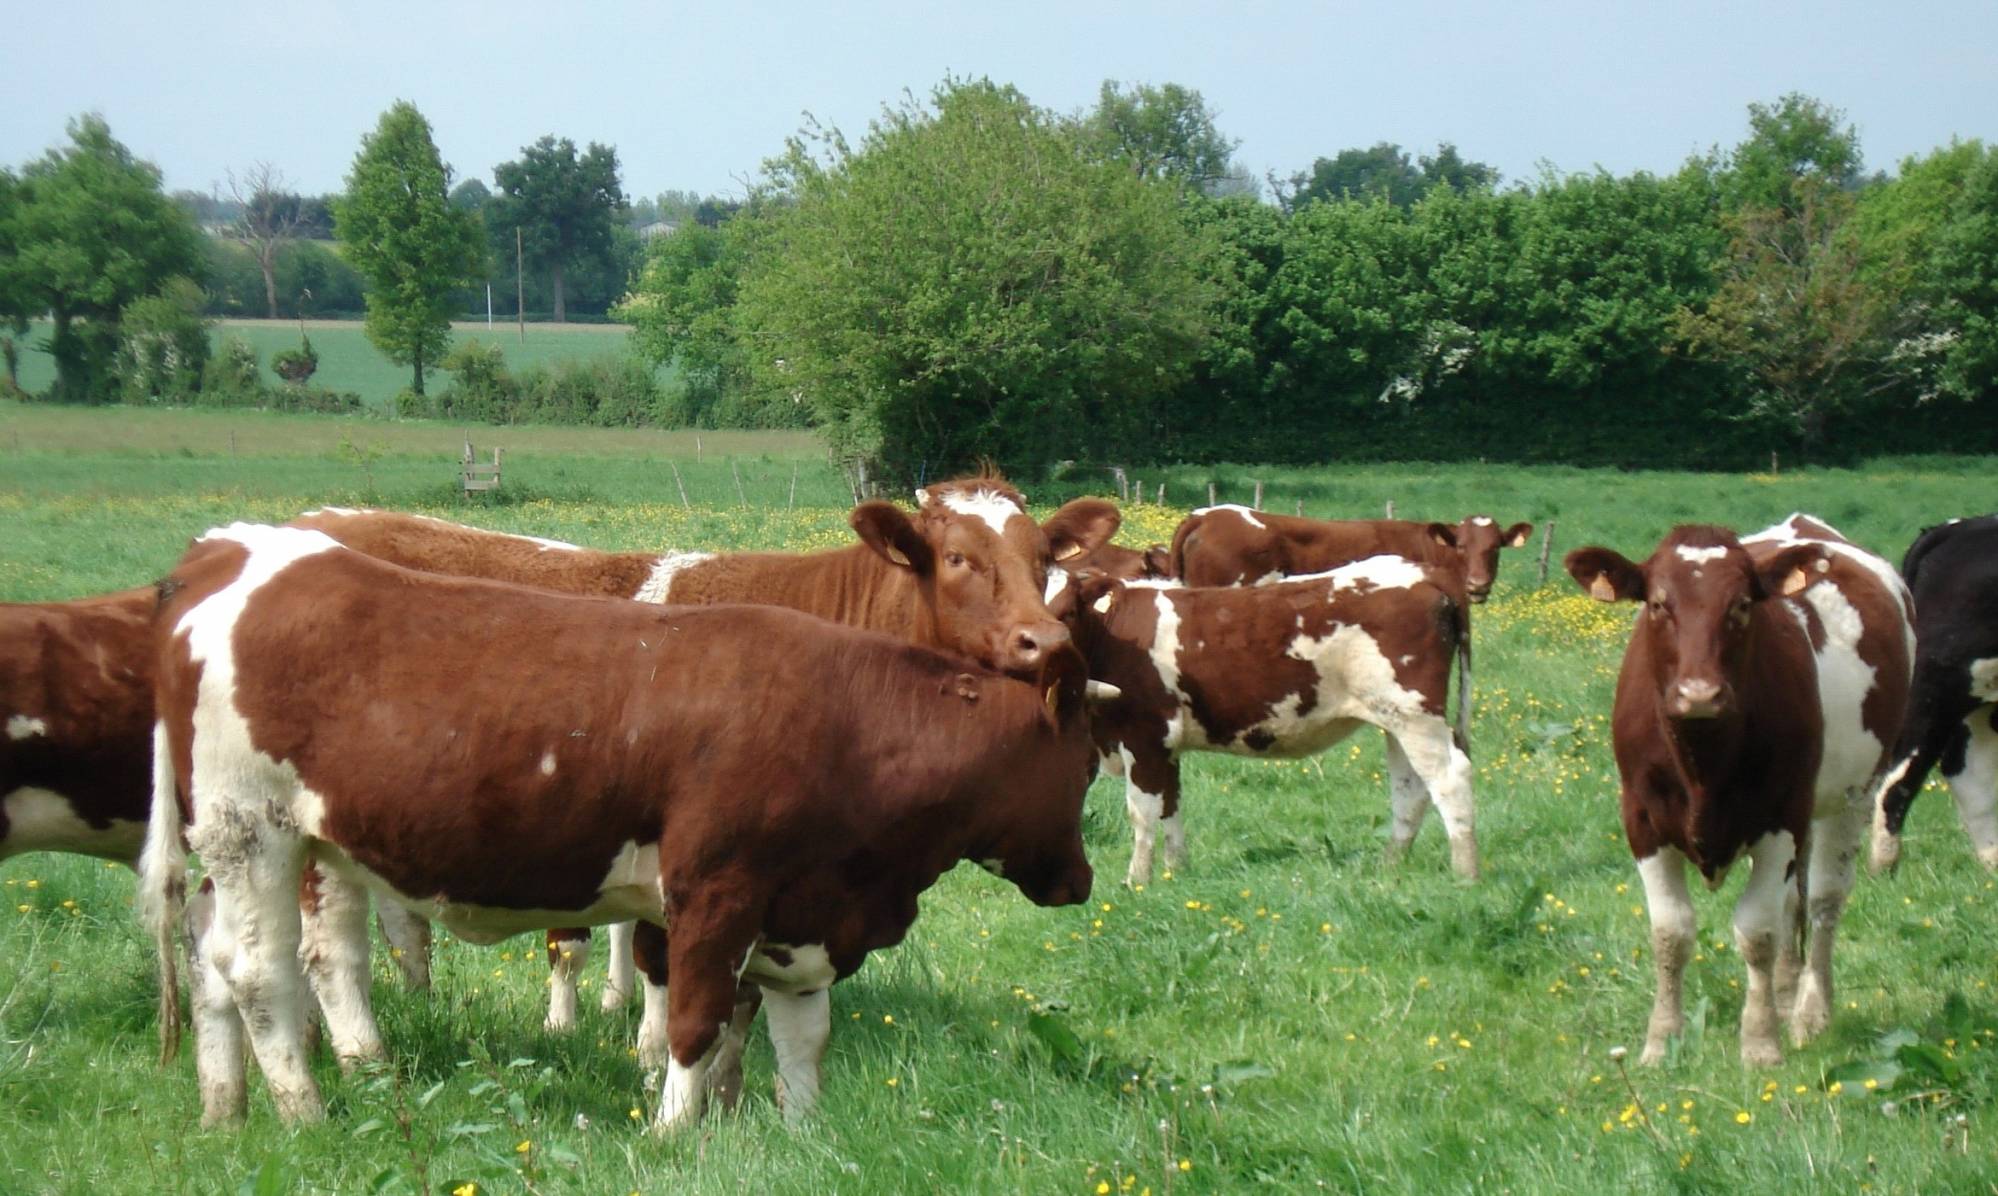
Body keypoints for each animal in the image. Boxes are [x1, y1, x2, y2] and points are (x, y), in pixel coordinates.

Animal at [140, 527, 1102, 1134]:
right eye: (1088, 767)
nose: (1082, 882)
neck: (846, 718)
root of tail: (231, 552)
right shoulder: (718, 891)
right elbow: (695, 1022)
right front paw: (673, 1135)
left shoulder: (804, 912)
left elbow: (802, 1036)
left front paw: (800, 1132)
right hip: (254, 831)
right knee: (263, 973)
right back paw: (306, 1112)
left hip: (261, 847)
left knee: (218, 959)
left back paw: (230, 1107)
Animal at [1070, 555, 1478, 882]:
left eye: (1068, 610)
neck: (1111, 634)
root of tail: (1424, 570)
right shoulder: (1165, 747)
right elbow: (1171, 806)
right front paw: (1176, 873)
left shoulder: (1146, 738)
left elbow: (1143, 813)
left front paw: (1137, 881)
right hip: (1396, 720)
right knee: (1410, 787)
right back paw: (1390, 865)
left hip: (1415, 715)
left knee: (1449, 778)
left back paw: (1465, 874)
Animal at [1566, 515, 1910, 1070]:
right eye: (1658, 603)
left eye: (1743, 604)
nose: (1699, 694)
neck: (1702, 763)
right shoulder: (1641, 820)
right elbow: (1672, 933)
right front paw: (1660, 1042)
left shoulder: (1779, 820)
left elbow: (1757, 932)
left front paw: (1761, 1043)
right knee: (1795, 902)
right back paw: (1787, 995)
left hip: (1850, 796)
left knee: (1824, 900)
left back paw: (1810, 1013)